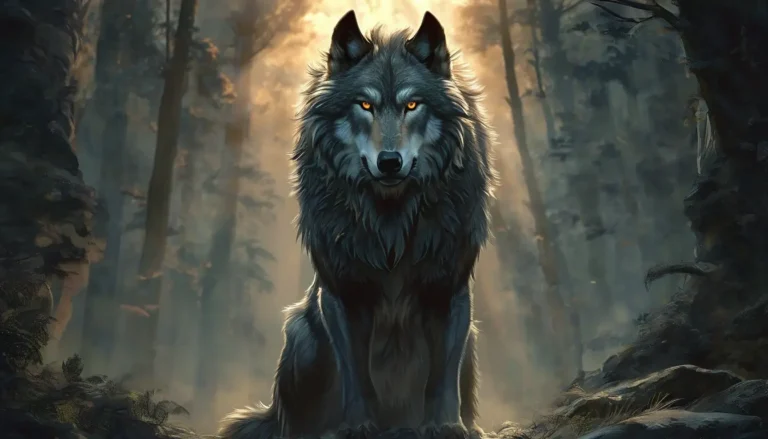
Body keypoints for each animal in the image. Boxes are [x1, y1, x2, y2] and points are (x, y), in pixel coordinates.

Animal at [219, 10, 495, 439]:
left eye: (412, 104)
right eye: (365, 104)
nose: (390, 162)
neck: (391, 221)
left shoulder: (449, 291)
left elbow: (442, 375)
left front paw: (448, 426)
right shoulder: (341, 294)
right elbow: (355, 372)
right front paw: (357, 426)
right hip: (301, 334)